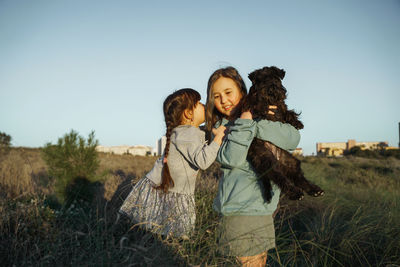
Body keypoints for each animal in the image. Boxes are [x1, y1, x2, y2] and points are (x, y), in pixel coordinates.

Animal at [241, 67, 324, 203]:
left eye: (275, 78)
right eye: (261, 79)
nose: (271, 88)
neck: (271, 101)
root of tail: (277, 158)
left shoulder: (281, 106)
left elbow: (288, 111)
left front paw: (297, 123)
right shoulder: (250, 105)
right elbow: (257, 104)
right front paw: (263, 107)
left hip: (291, 162)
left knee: (298, 178)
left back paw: (315, 190)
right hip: (266, 160)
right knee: (280, 178)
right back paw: (296, 193)